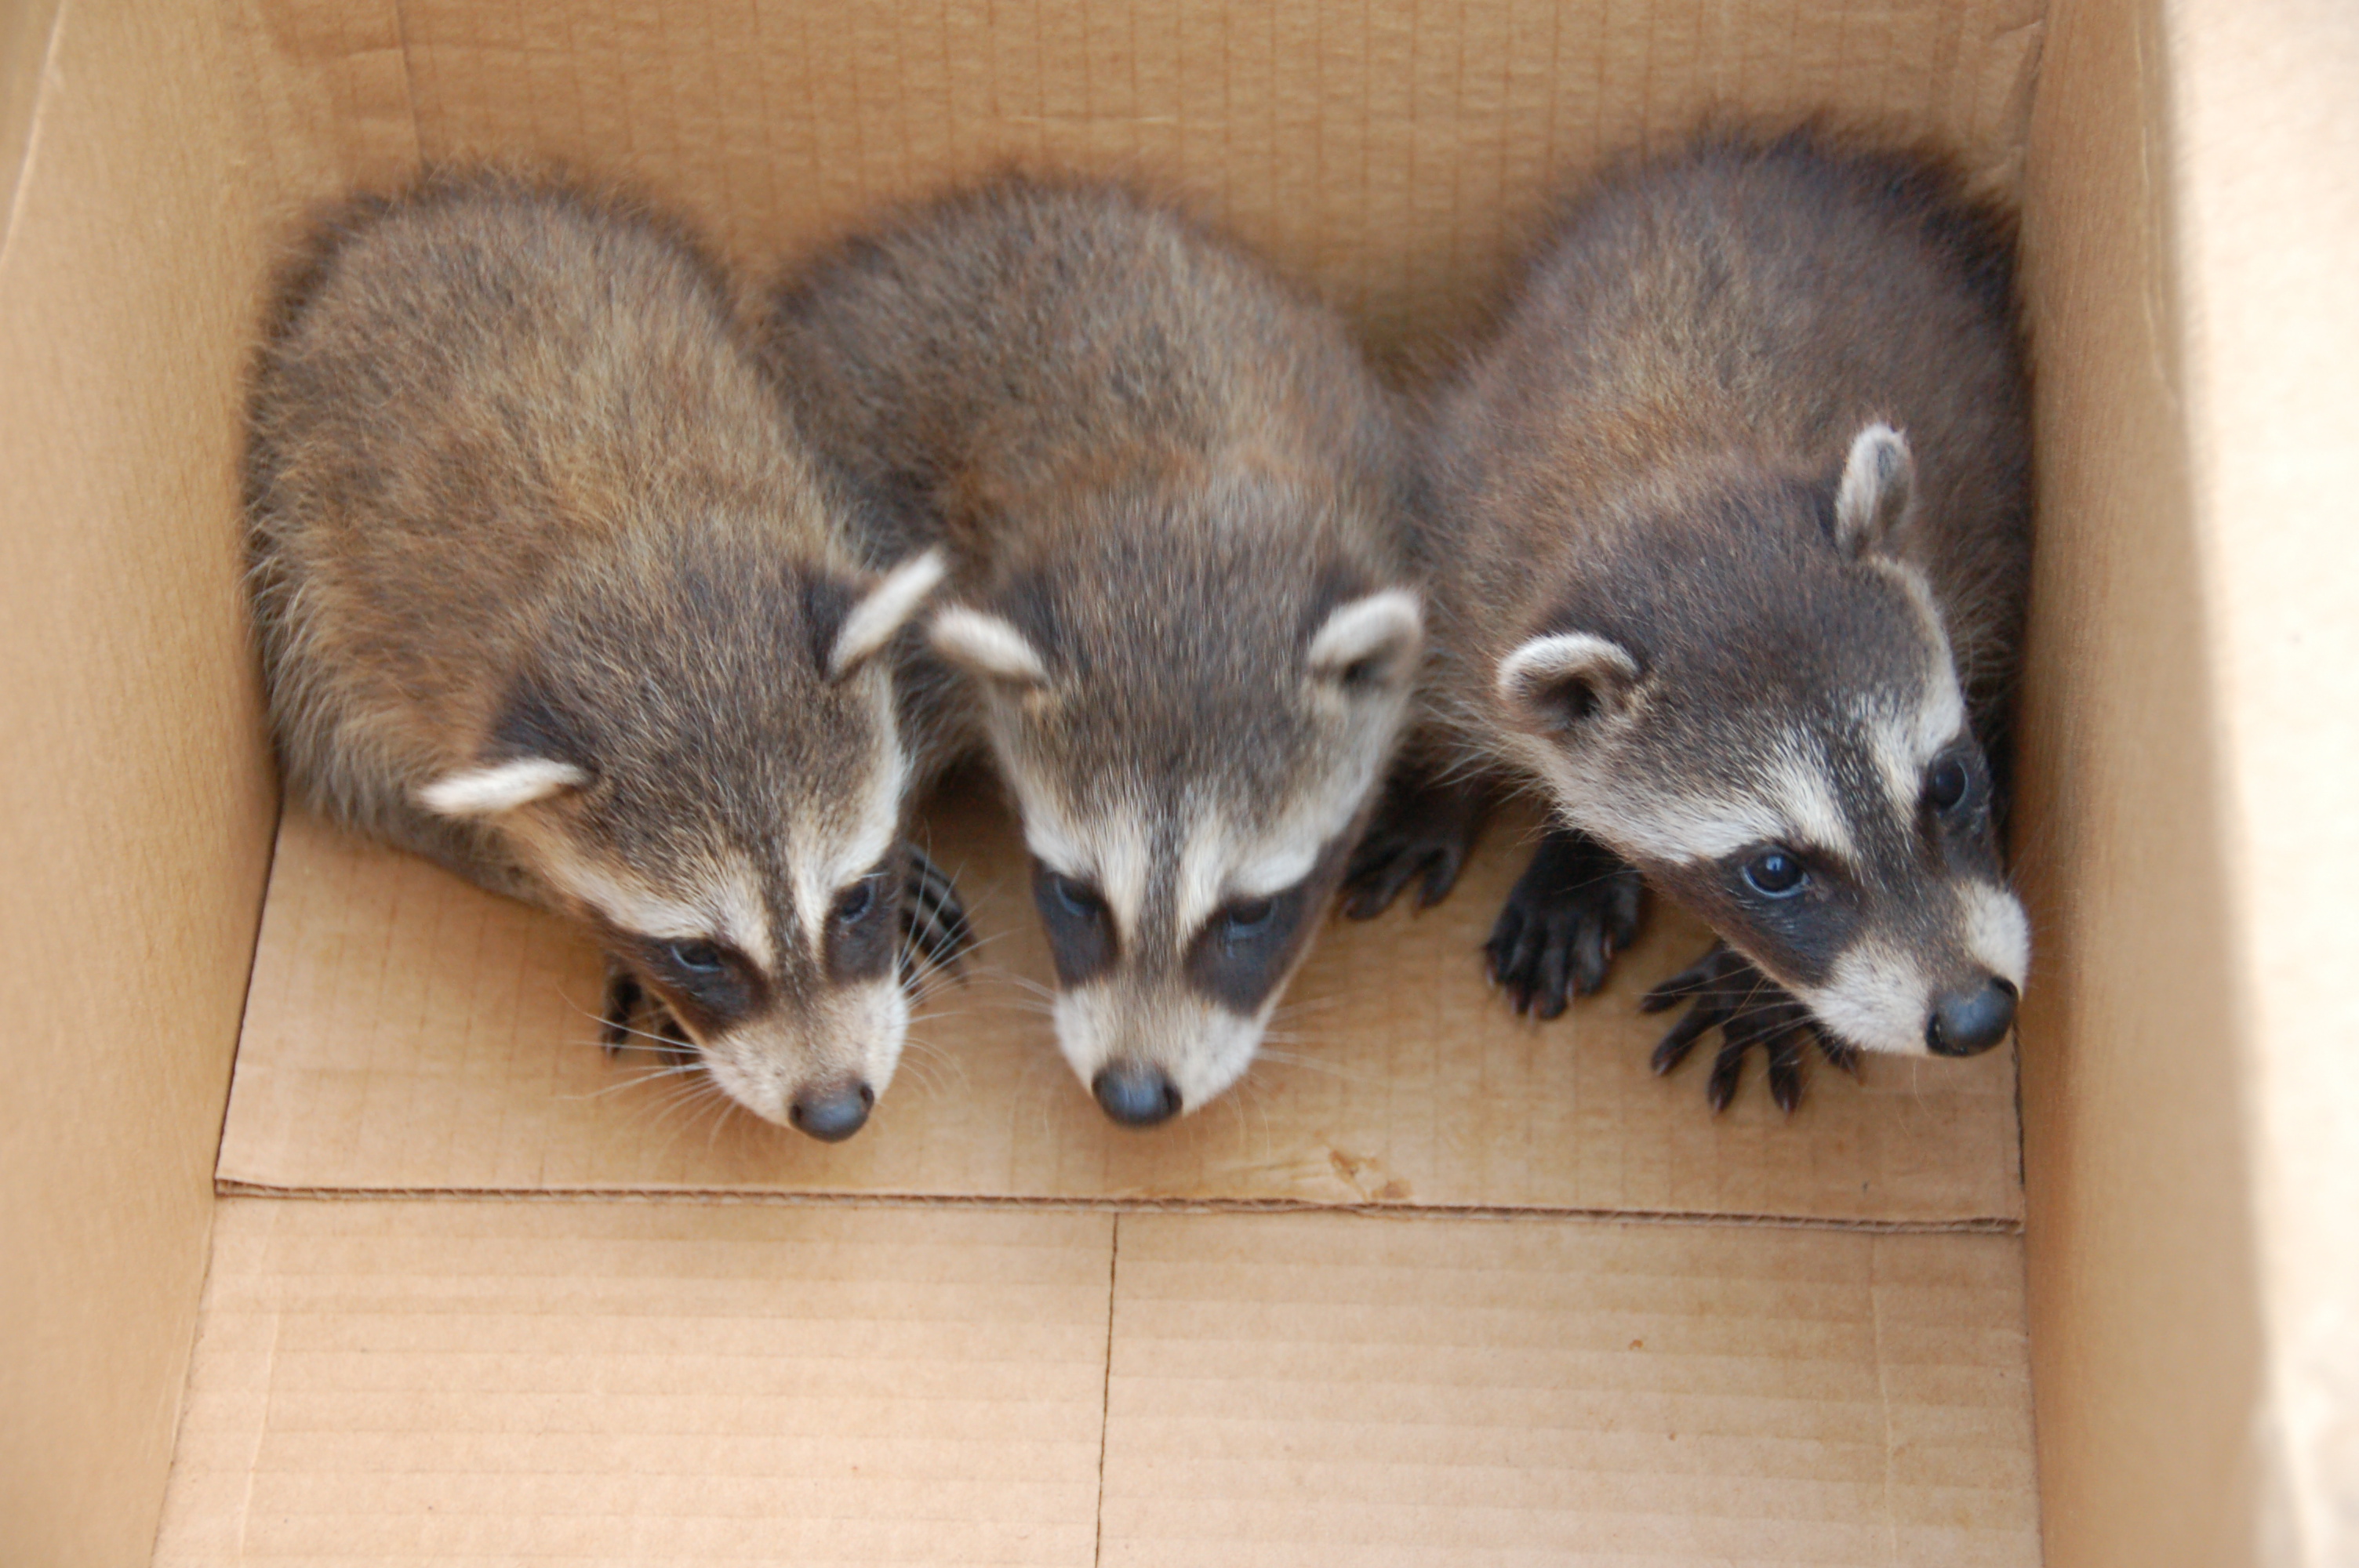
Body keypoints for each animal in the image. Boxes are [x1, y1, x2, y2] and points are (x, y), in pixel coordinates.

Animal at [247, 173, 962, 1143]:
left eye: (852, 897)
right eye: (696, 951)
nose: (836, 1110)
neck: (641, 578)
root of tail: (412, 217)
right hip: (299, 576)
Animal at [1350, 132, 2032, 1111]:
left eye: (1945, 783)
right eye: (1773, 868)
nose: (1976, 1015)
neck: (1672, 473)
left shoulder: (1966, 549)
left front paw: (1754, 985)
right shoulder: (1464, 546)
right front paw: (1466, 799)